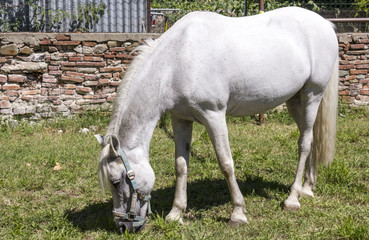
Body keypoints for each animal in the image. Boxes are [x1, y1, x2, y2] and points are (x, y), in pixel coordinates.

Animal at [94, 7, 336, 232]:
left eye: (115, 181)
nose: (123, 226)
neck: (177, 61)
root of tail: (326, 24)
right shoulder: (180, 119)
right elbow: (181, 165)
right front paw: (176, 214)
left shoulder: (214, 116)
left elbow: (226, 163)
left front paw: (237, 213)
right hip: (295, 100)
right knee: (311, 138)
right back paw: (308, 187)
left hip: (312, 94)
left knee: (304, 143)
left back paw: (293, 198)